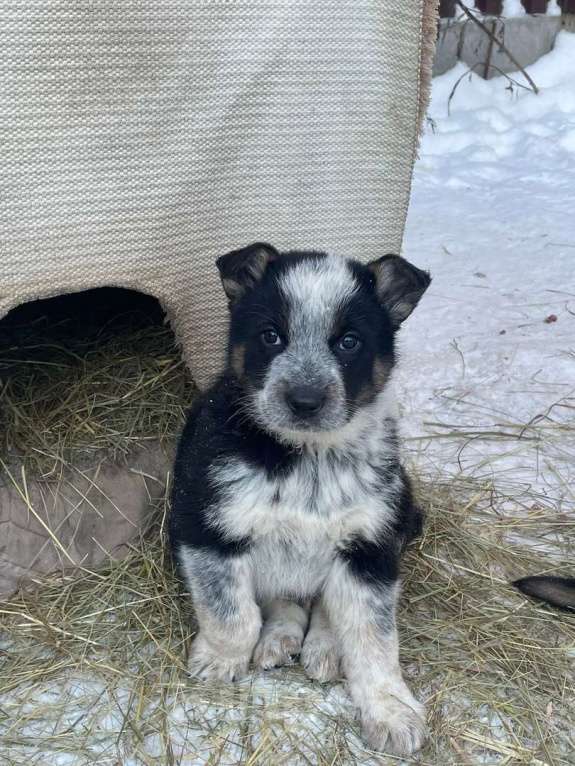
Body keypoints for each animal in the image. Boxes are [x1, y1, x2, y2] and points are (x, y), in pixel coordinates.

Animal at [171, 244, 432, 756]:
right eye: (271, 336)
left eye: (349, 342)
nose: (305, 401)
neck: (308, 458)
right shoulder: (207, 526)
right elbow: (232, 613)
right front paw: (221, 660)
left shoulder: (370, 546)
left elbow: (374, 639)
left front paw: (390, 710)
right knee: (283, 602)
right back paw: (281, 639)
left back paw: (322, 647)